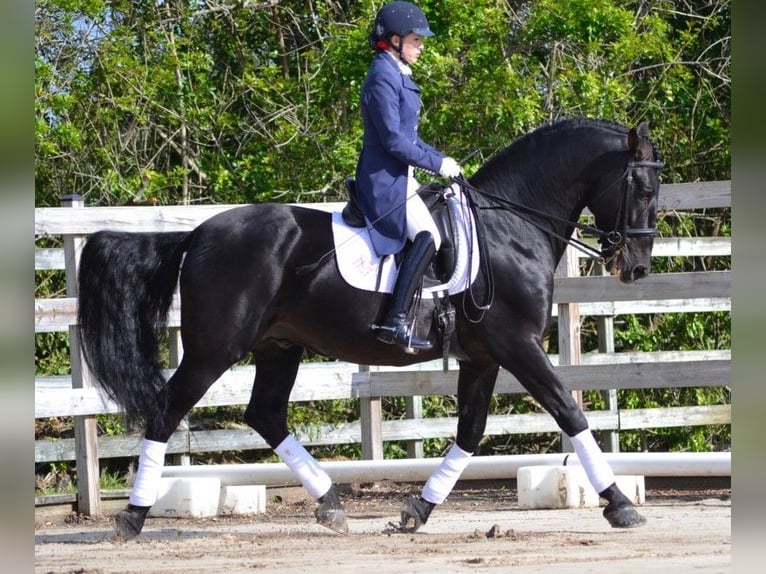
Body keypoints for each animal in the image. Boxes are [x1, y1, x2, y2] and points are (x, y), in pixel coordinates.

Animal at [76, 117, 663, 539]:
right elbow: (569, 410)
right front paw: (619, 504)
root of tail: (197, 233)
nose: (636, 269)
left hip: (278, 346)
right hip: (213, 350)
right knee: (167, 410)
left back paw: (330, 505)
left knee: (265, 413)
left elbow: (470, 432)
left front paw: (417, 511)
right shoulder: (516, 345)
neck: (509, 228)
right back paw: (132, 517)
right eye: (641, 189)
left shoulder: (482, 355)